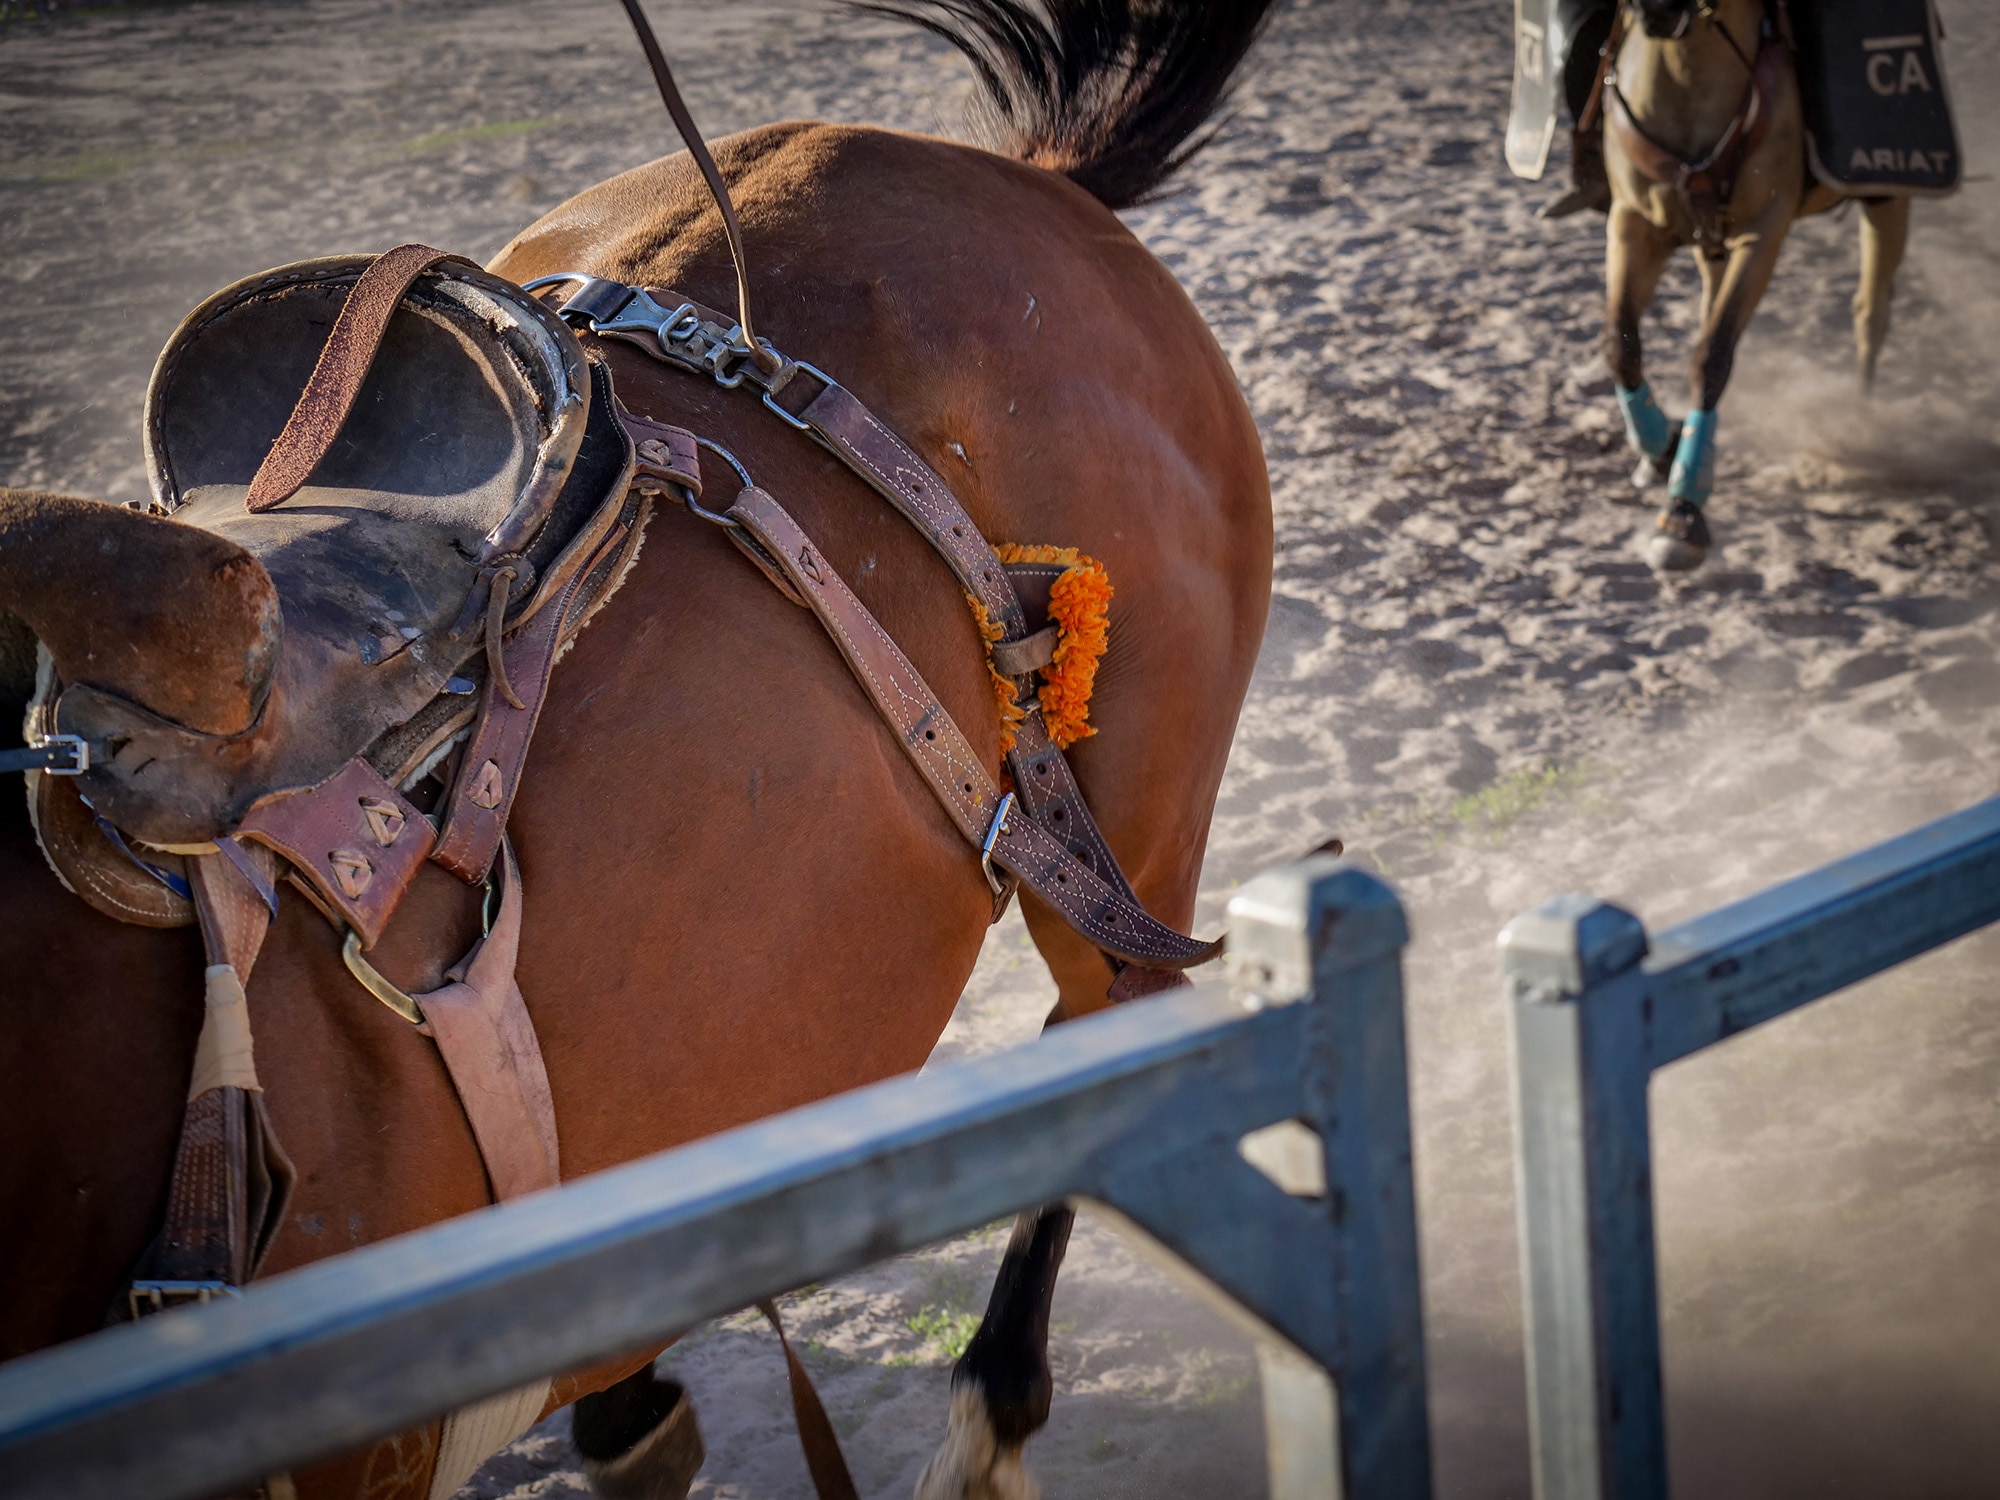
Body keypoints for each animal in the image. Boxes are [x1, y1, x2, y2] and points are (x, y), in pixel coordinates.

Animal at [1599, 0, 1912, 570]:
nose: (1658, 10)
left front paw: (1683, 512)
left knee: (1870, 310)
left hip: (1887, 196)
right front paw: (1662, 450)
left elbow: (1712, 355)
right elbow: (1621, 344)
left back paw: (1859, 419)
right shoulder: (1633, 220)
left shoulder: (1762, 231)